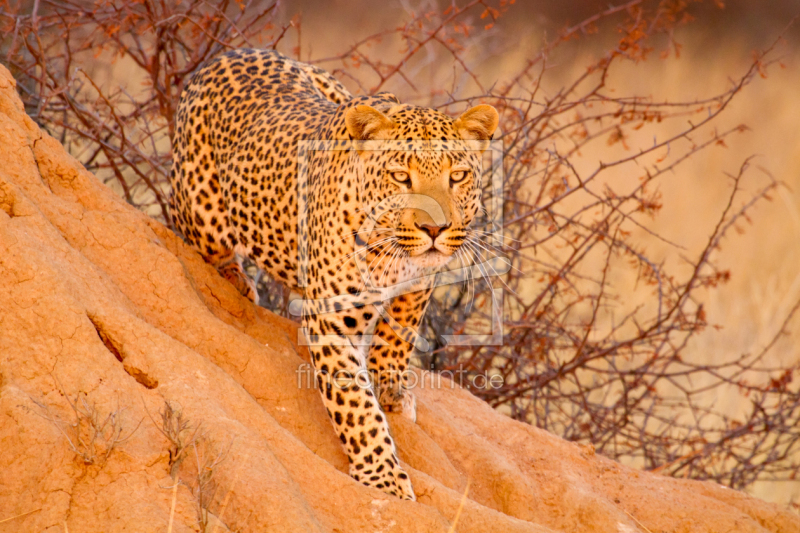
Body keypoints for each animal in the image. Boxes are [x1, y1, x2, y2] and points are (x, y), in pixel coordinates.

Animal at [171, 48, 496, 498]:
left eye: (458, 176)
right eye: (401, 176)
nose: (435, 229)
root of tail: (229, 53)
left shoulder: (420, 280)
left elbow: (399, 333)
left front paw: (392, 390)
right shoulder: (330, 320)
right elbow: (355, 404)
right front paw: (384, 478)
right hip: (205, 218)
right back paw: (235, 281)